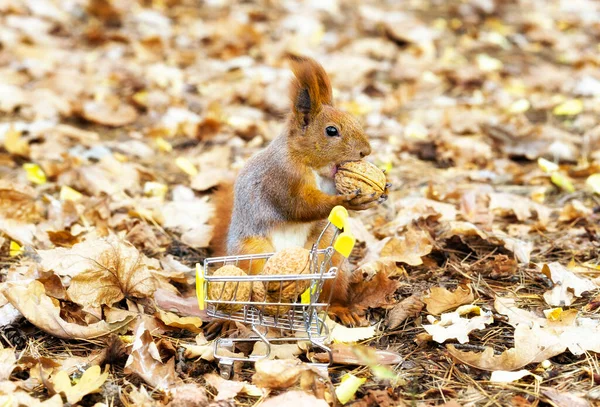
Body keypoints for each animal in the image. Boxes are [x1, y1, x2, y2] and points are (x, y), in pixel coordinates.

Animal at [210, 55, 390, 328]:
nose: (365, 151)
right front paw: (348, 202)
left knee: (328, 293)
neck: (312, 165)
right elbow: (301, 207)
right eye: (331, 131)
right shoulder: (282, 179)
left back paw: (340, 309)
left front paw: (381, 189)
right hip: (250, 256)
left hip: (333, 261)